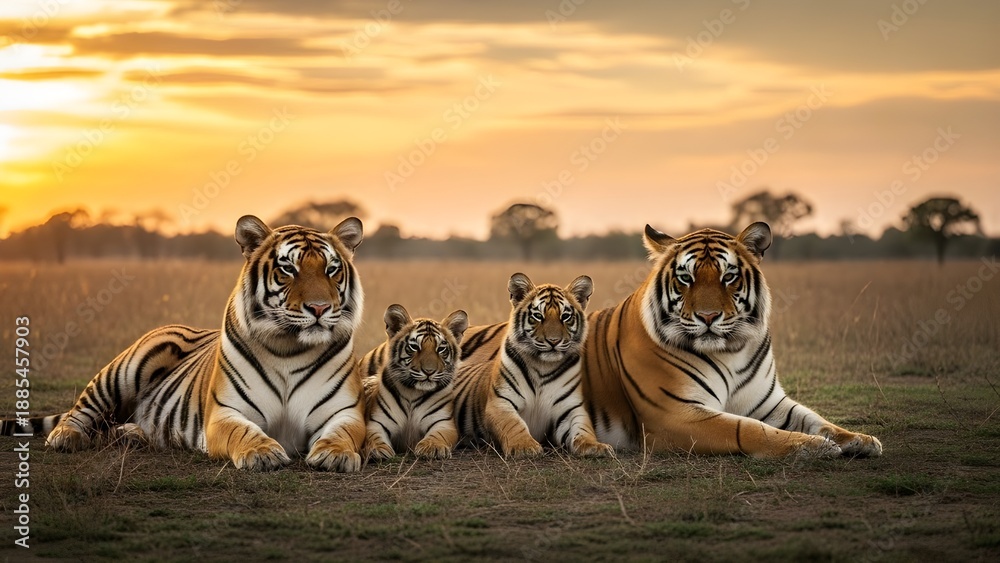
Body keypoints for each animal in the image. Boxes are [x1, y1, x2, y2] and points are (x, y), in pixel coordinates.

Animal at [1, 215, 368, 472]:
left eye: (332, 269)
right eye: (288, 269)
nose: (319, 309)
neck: (290, 347)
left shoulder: (344, 412)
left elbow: (342, 434)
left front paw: (335, 455)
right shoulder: (226, 413)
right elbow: (245, 433)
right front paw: (262, 453)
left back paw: (133, 435)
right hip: (122, 372)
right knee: (82, 411)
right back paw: (65, 437)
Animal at [359, 304, 468, 461]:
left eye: (441, 349)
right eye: (415, 347)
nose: (429, 371)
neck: (413, 392)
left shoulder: (443, 423)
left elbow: (438, 435)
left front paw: (432, 448)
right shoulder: (376, 422)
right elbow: (373, 437)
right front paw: (375, 450)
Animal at [453, 273, 613, 458]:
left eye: (565, 316)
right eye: (538, 316)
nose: (553, 341)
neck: (543, 365)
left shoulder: (571, 409)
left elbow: (583, 429)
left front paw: (595, 446)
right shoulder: (500, 403)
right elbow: (513, 425)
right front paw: (524, 446)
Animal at [580, 221, 883, 458]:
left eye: (728, 276)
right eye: (685, 277)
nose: (708, 316)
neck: (731, 351)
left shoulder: (769, 402)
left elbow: (815, 419)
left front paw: (860, 439)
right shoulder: (674, 414)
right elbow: (746, 428)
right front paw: (814, 446)